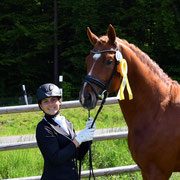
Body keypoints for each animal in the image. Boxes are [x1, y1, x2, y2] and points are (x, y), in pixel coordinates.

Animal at [79, 24, 180, 180]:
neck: (158, 111)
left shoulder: (158, 171)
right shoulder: (146, 170)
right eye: (87, 60)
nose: (86, 97)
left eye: (109, 61)